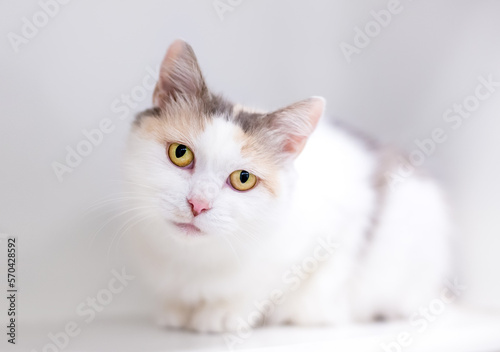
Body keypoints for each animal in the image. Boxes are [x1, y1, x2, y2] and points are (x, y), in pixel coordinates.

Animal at [123, 39, 452, 332]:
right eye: (180, 153)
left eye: (243, 179)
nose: (198, 204)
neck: (192, 258)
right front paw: (175, 311)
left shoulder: (330, 236)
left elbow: (266, 285)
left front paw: (222, 314)